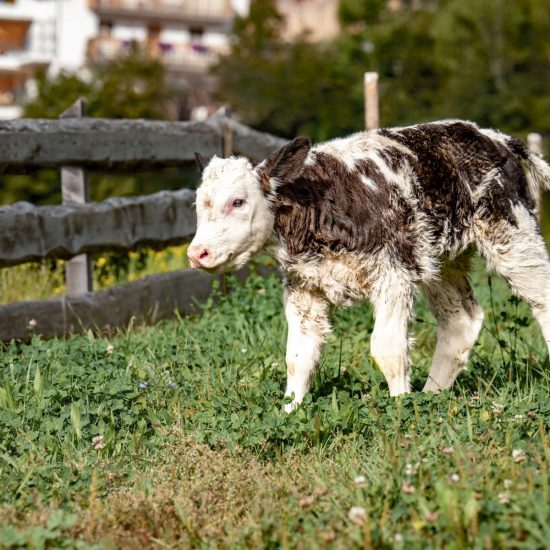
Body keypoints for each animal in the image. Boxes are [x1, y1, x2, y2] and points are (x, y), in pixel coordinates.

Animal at [190, 122, 550, 414]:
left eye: (238, 201)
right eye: (197, 206)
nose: (197, 253)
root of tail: (495, 136)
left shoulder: (393, 275)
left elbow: (387, 349)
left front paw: (401, 408)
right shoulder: (305, 287)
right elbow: (298, 356)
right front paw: (289, 412)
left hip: (512, 233)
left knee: (541, 299)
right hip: (442, 261)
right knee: (460, 322)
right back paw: (431, 395)